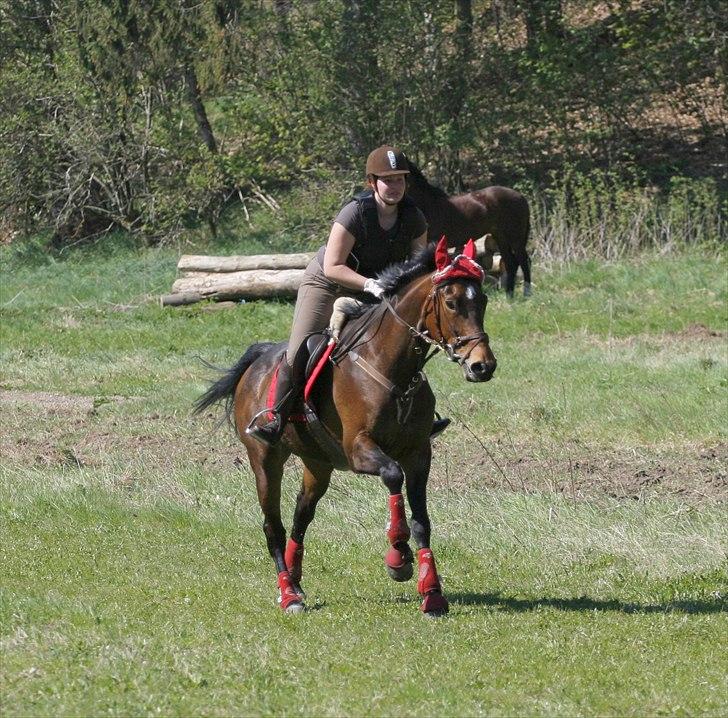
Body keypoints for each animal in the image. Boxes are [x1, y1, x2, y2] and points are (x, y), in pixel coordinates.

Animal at [196, 238, 498, 620]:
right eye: (452, 302)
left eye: (483, 300)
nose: (483, 366)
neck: (391, 367)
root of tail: (257, 361)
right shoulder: (359, 449)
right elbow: (392, 475)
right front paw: (398, 557)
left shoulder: (418, 453)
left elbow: (422, 521)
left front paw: (432, 594)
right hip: (265, 459)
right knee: (272, 524)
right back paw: (288, 594)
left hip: (318, 462)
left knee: (302, 512)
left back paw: (296, 579)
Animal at [406, 163, 532, 298]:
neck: (429, 205)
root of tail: (521, 197)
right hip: (500, 237)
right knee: (510, 263)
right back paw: (509, 296)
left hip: (515, 237)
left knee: (523, 261)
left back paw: (526, 294)